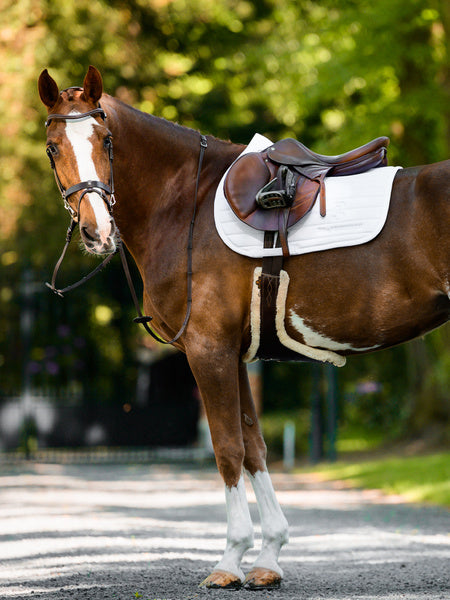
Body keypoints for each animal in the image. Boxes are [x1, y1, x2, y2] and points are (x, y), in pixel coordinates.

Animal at [39, 67, 450, 592]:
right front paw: (269, 555)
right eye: (53, 148)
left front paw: (229, 559)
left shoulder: (208, 351)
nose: (97, 232)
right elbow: (255, 447)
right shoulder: (232, 354)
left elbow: (228, 449)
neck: (185, 203)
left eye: (106, 140)